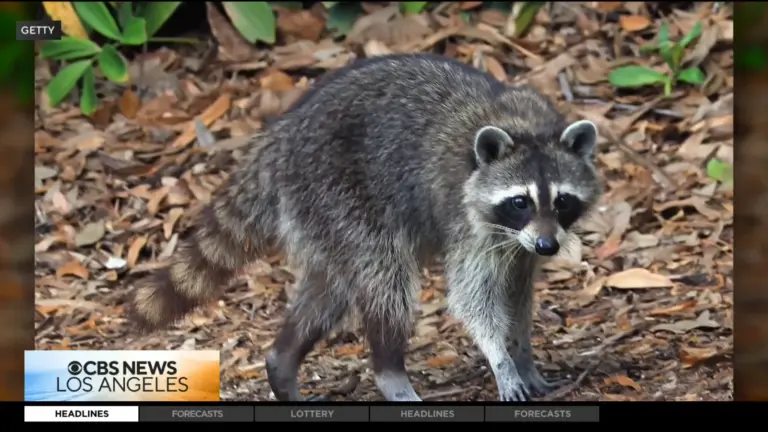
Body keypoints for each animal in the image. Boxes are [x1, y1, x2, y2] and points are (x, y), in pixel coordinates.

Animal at [129, 53, 603, 402]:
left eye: (561, 201)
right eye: (520, 202)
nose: (548, 245)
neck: (525, 129)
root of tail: (279, 137)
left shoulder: (519, 246)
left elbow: (518, 296)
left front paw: (522, 354)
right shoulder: (467, 222)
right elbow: (474, 299)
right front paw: (500, 359)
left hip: (320, 213)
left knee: (329, 289)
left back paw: (282, 362)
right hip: (340, 192)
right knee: (385, 282)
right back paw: (390, 373)